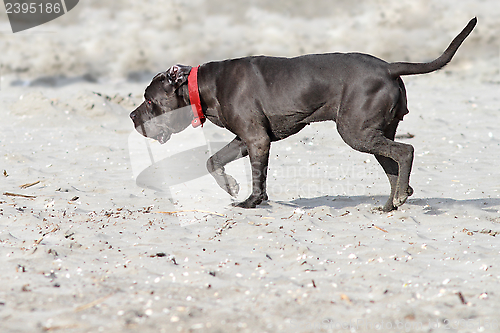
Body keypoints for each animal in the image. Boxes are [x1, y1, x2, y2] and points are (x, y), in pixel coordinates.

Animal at [129, 17, 476, 210]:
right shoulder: (245, 139)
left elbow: (258, 177)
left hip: (356, 132)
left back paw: (400, 198)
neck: (203, 86)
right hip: (373, 132)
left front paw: (252, 202)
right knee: (393, 165)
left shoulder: (256, 140)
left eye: (149, 100)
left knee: (405, 151)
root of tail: (389, 66)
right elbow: (213, 160)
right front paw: (231, 186)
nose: (132, 117)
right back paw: (392, 203)